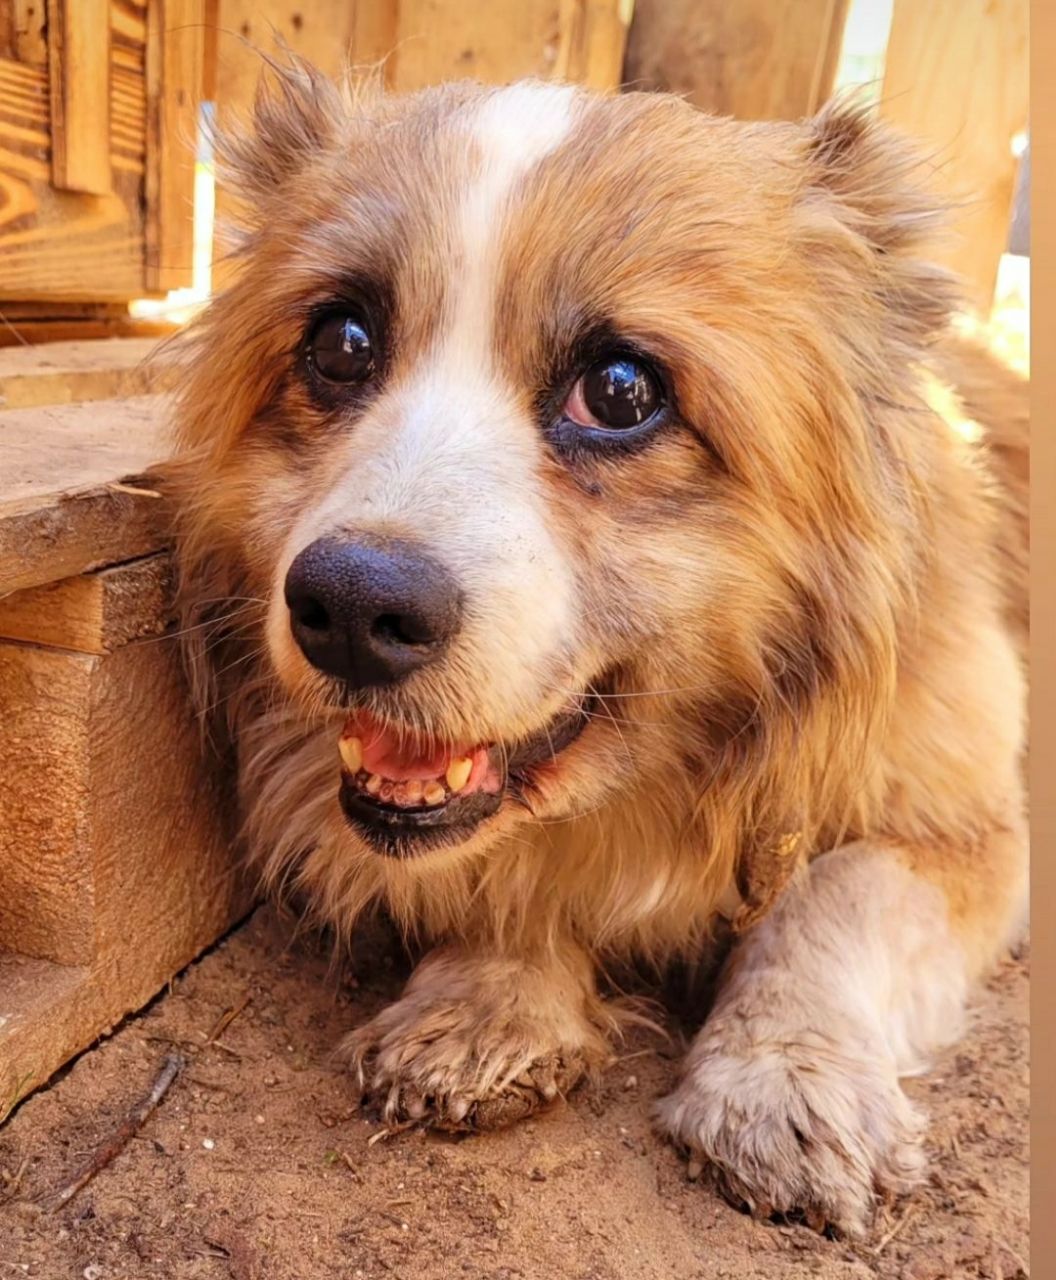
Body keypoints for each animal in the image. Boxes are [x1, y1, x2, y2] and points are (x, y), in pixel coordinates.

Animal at [171, 62, 1024, 1239]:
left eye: (621, 391)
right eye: (340, 344)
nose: (346, 605)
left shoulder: (970, 825)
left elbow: (838, 895)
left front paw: (784, 1085)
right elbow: (505, 872)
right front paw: (489, 1003)